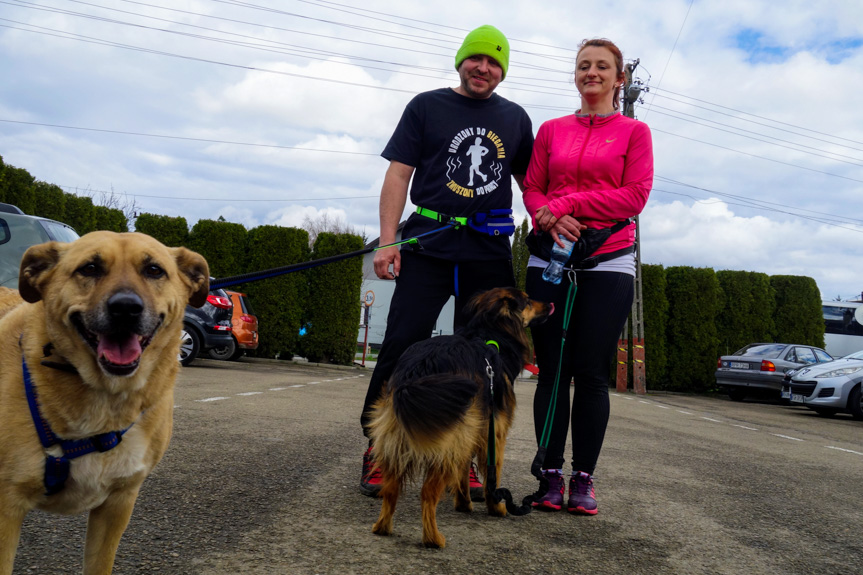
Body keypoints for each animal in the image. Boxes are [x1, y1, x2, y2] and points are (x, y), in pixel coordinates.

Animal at [0, 233, 208, 575]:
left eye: (154, 270)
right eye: (90, 268)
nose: (126, 308)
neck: (105, 399)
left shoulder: (117, 505)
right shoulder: (7, 508)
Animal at [368, 288, 552, 548]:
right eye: (527, 301)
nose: (550, 304)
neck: (490, 334)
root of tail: (419, 368)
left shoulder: (472, 431)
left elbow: (464, 471)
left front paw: (464, 503)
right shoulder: (494, 433)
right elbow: (492, 474)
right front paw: (496, 507)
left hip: (412, 435)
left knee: (391, 488)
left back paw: (382, 527)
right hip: (449, 440)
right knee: (427, 492)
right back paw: (433, 538)